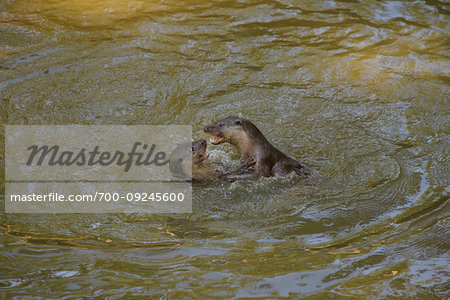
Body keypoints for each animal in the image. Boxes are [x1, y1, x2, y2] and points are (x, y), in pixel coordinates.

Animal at [170, 116, 310, 183]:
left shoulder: (263, 159)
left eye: (221, 124)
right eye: (216, 121)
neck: (253, 149)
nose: (207, 128)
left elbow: (257, 175)